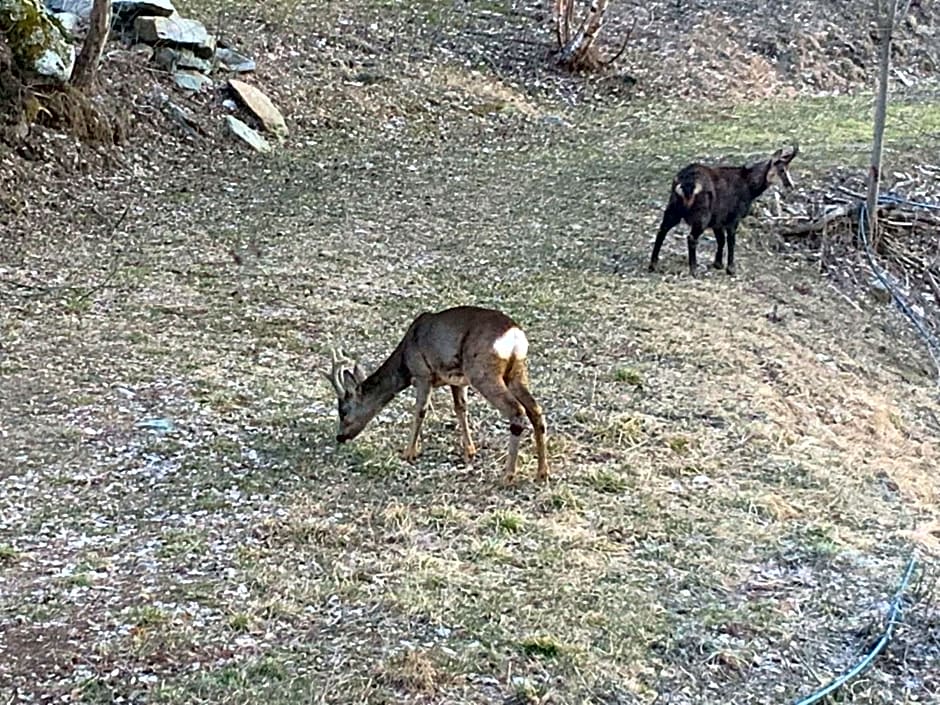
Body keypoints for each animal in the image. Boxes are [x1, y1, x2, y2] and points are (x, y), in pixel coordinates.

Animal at [322, 308, 548, 484]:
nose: (340, 436)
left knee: (516, 411)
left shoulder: (422, 373)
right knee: (536, 410)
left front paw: (409, 453)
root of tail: (515, 336)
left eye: (343, 411)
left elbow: (420, 411)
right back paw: (542, 473)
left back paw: (508, 475)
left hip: (483, 372)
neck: (405, 361)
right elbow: (460, 408)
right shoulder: (457, 381)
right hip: (516, 372)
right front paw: (470, 451)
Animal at [648, 143, 800, 276]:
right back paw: (693, 270)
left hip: (673, 208)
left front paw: (718, 264)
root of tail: (688, 183)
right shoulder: (733, 217)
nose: (791, 186)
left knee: (662, 230)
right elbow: (731, 240)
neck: (749, 185)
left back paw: (653, 265)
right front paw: (731, 269)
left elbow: (721, 240)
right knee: (691, 238)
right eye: (782, 170)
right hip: (701, 215)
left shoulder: (718, 220)